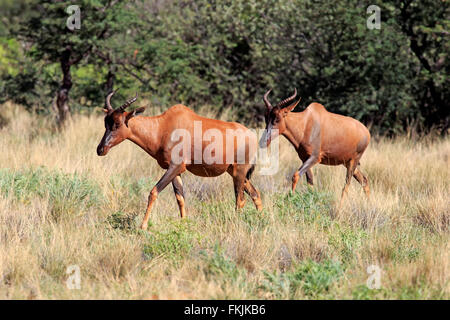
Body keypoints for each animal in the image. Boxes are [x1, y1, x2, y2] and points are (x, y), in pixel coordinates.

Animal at [96, 90, 262, 230]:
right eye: (105, 123)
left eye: (118, 123)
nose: (100, 149)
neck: (163, 127)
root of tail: (252, 136)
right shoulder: (174, 170)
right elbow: (180, 198)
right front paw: (184, 224)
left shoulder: (175, 167)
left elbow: (153, 192)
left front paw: (143, 226)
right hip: (234, 172)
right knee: (255, 194)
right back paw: (261, 219)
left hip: (239, 171)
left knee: (240, 199)